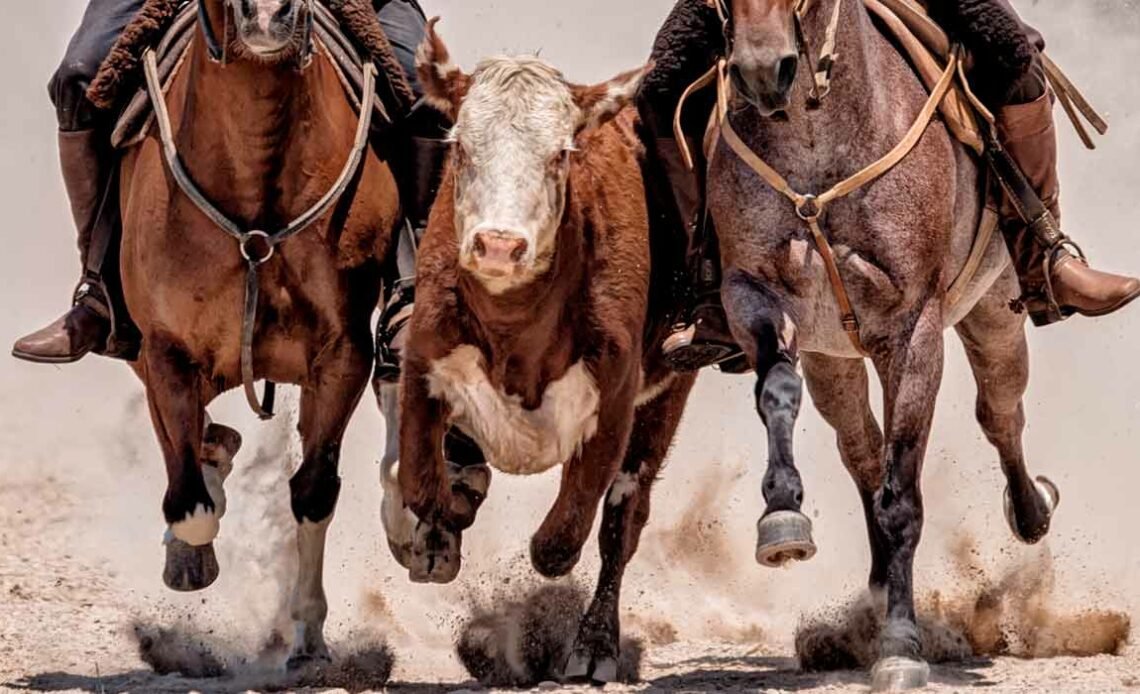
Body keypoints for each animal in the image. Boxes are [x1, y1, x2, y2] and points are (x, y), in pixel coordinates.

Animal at [117, 0, 399, 670]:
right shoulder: (166, 351)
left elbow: (314, 492)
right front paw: (189, 559)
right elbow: (191, 506)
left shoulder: (343, 355)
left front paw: (309, 639)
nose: (269, 15)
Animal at [385, 18, 693, 679]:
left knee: (624, 516)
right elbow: (422, 483)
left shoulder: (616, 396)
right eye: (461, 147)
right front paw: (444, 520)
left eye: (560, 154)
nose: (500, 245)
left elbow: (561, 538)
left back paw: (593, 648)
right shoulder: (423, 363)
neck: (517, 332)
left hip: (671, 388)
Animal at [711, 0, 1057, 688]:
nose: (762, 73)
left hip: (995, 310)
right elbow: (778, 392)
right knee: (862, 453)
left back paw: (1031, 512)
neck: (815, 138)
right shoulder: (753, 295)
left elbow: (902, 497)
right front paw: (781, 515)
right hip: (836, 363)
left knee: (1000, 412)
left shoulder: (914, 330)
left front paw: (901, 646)